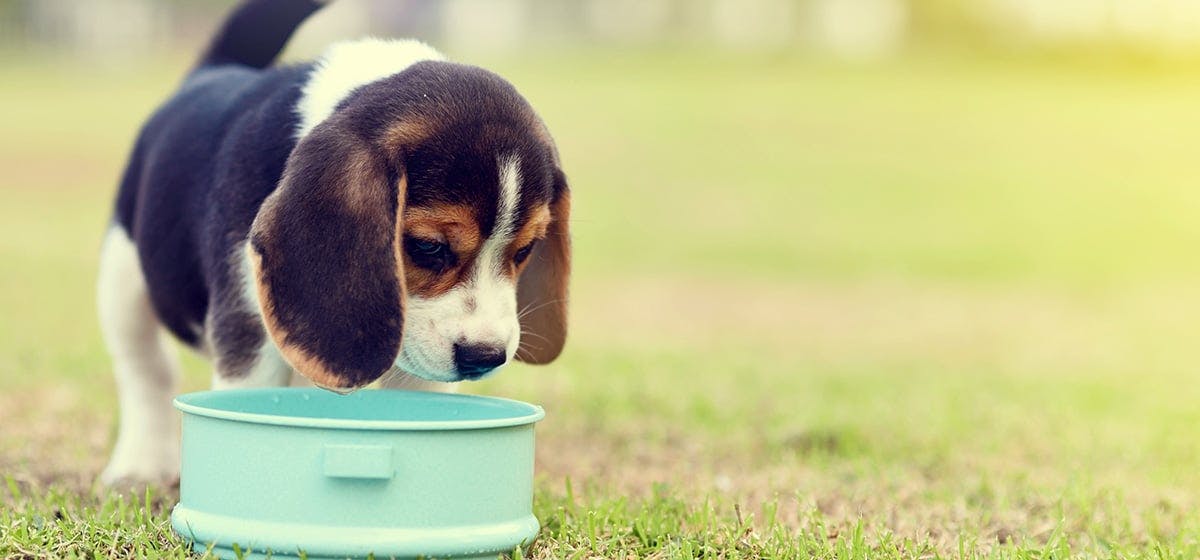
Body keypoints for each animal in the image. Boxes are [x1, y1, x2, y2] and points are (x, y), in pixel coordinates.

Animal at [96, 0, 573, 484]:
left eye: (524, 250)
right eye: (428, 247)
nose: (485, 355)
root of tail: (214, 69)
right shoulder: (246, 330)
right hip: (122, 280)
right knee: (147, 371)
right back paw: (139, 466)